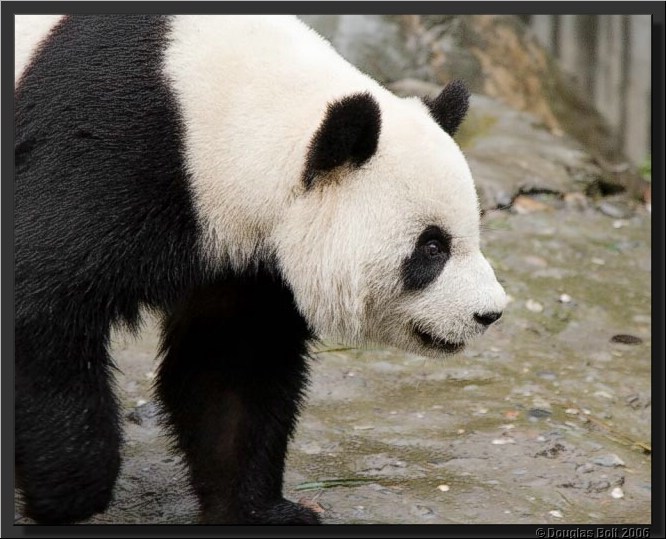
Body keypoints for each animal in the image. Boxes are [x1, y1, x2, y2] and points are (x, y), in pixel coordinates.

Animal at [15, 15, 507, 525]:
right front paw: (70, 489)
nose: (489, 314)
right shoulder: (108, 152)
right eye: (432, 247)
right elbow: (43, 305)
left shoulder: (245, 259)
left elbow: (233, 364)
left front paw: (259, 510)